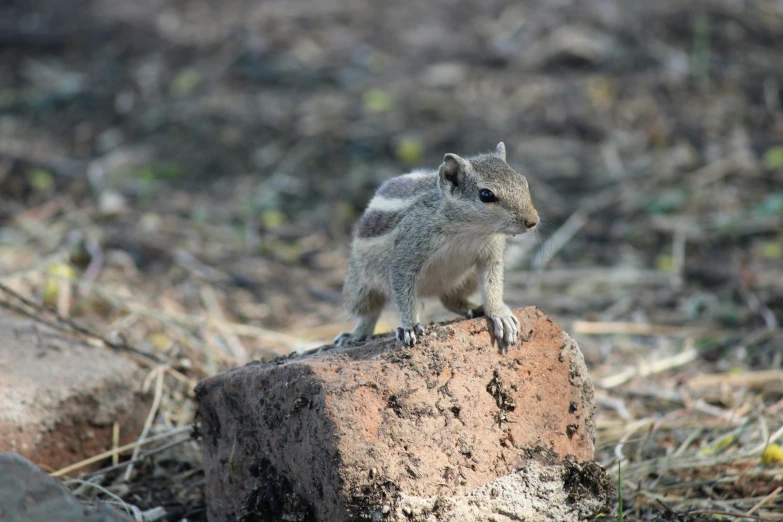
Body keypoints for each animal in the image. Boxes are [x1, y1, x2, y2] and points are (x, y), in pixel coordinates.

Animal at [334, 140, 536, 348]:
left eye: (523, 181)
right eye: (486, 195)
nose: (533, 221)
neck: (468, 230)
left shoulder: (490, 255)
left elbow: (492, 285)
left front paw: (499, 313)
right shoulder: (406, 254)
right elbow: (402, 289)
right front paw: (409, 325)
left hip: (467, 279)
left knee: (450, 299)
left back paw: (476, 308)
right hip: (359, 287)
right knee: (369, 312)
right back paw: (355, 335)